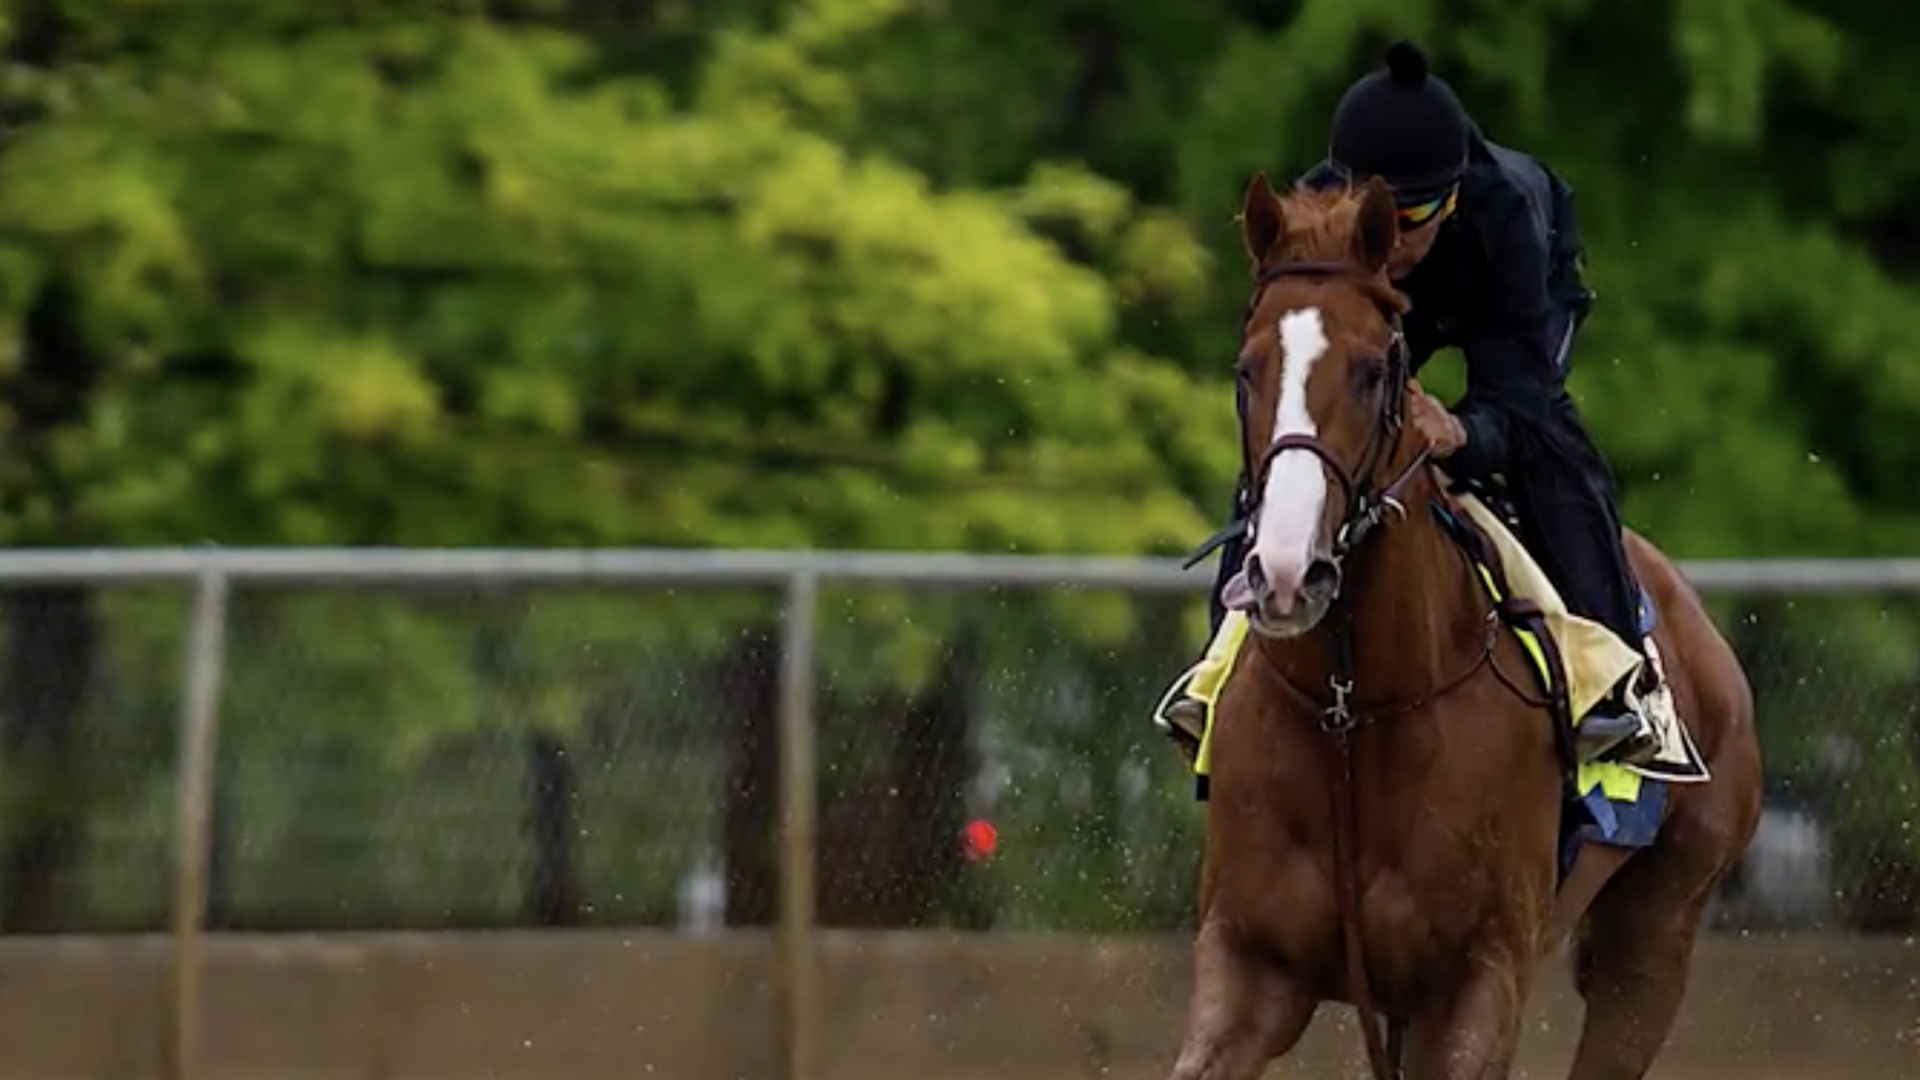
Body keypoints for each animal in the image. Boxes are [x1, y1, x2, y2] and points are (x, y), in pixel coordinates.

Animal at [1164, 173, 1763, 1080]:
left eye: (1375, 370)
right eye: (1246, 369)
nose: (1287, 573)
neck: (1354, 708)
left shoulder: (1478, 980)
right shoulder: (1250, 964)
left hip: (1658, 932)